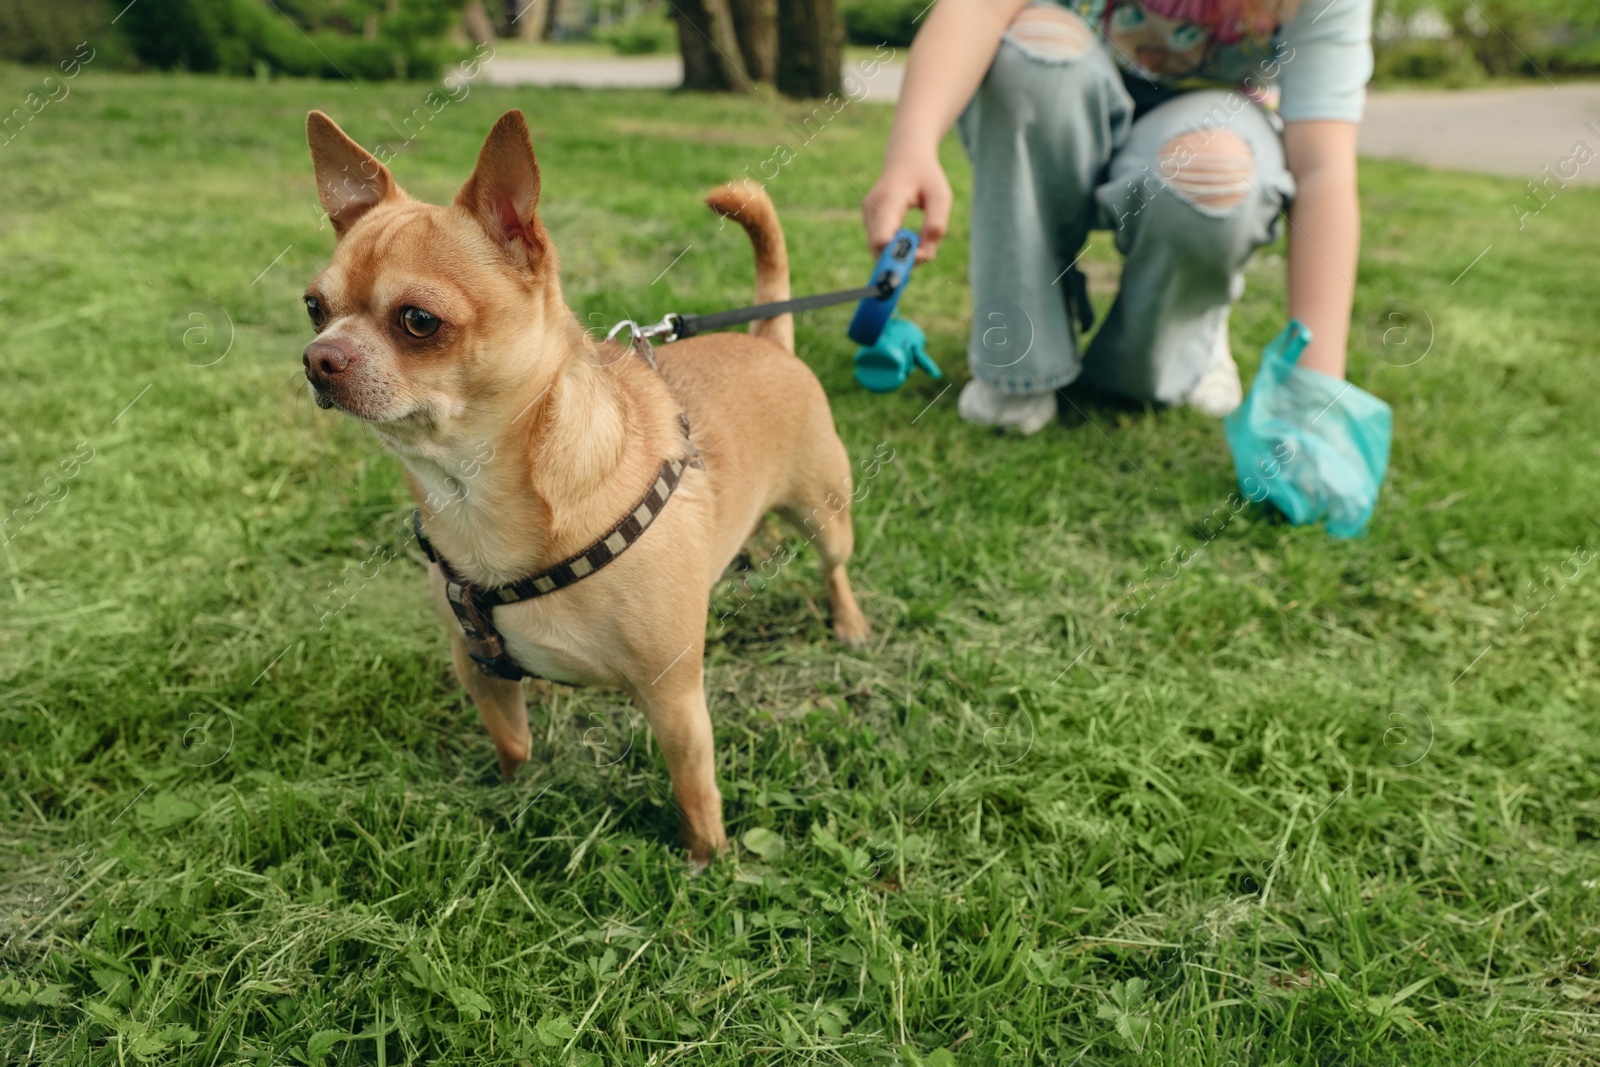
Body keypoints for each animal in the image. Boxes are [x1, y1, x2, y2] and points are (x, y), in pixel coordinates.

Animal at [304, 108, 870, 863]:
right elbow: (513, 743)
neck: (476, 497)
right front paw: (515, 793)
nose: (317, 358)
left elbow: (694, 788)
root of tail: (766, 338)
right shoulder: (480, 672)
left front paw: (705, 860)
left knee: (835, 566)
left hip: (825, 514)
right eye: (314, 307)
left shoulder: (674, 699)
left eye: (418, 321)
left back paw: (850, 622)